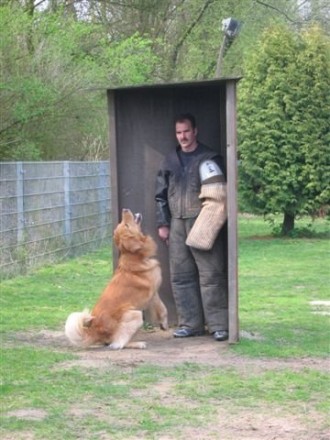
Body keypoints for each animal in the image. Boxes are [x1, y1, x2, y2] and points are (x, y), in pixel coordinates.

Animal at [65, 208, 168, 348]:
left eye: (122, 223)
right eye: (126, 225)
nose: (125, 209)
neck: (134, 257)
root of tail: (93, 331)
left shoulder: (154, 295)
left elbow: (162, 308)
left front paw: (163, 324)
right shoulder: (152, 293)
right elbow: (162, 308)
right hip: (135, 314)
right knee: (117, 343)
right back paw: (137, 343)